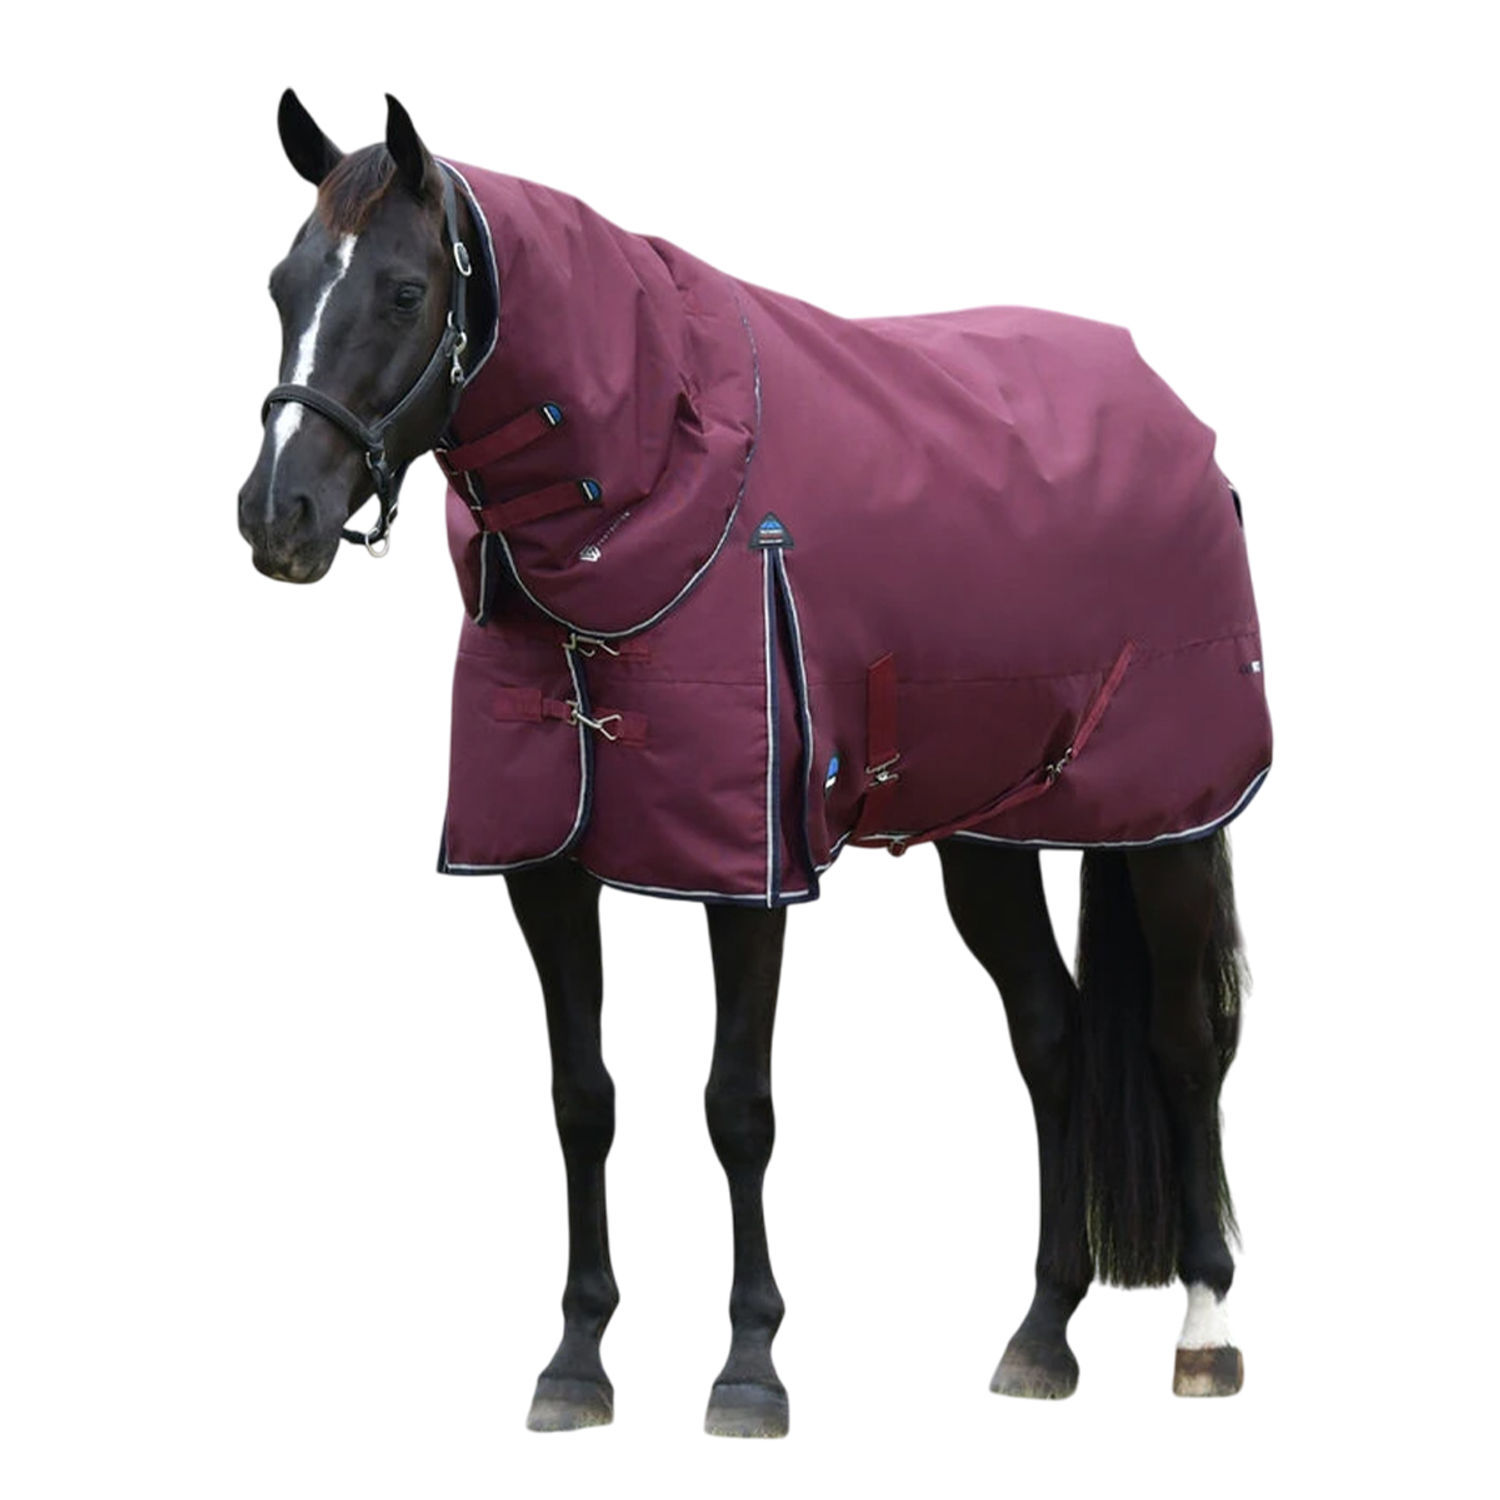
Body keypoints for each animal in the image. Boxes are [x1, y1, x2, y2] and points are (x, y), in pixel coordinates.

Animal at [238, 90, 1266, 1436]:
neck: (654, 487)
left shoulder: (747, 866)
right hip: (991, 834)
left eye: (406, 290)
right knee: (1051, 1033)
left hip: (1168, 822)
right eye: (282, 283)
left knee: (1184, 1043)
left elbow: (739, 1106)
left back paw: (1205, 1330)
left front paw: (749, 1366)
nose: (277, 517)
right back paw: (1041, 1335)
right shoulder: (543, 867)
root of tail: (1175, 420)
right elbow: (582, 1098)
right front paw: (576, 1360)